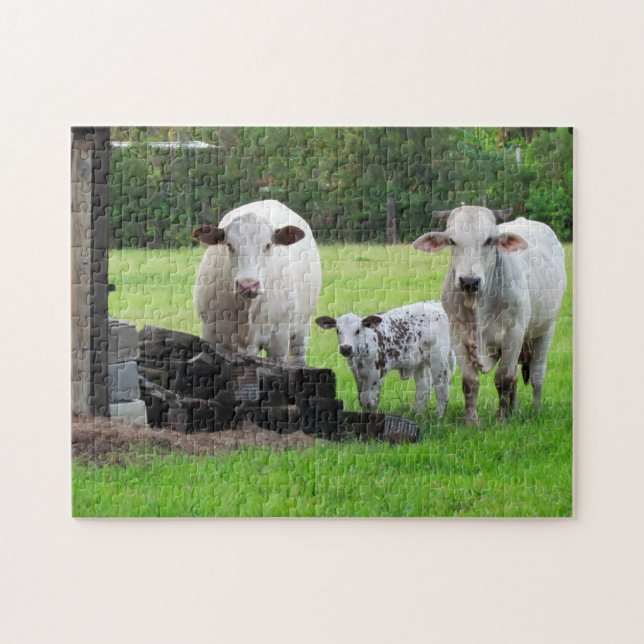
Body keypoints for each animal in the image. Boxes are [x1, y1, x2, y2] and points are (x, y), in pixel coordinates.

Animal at [193, 200, 322, 364]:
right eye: (229, 245)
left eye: (268, 245)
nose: (248, 285)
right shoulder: (211, 333)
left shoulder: (279, 339)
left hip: (302, 327)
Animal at [316, 301, 455, 416]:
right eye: (337, 330)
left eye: (358, 331)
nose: (346, 348)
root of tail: (437, 303)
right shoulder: (358, 375)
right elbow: (362, 398)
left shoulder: (376, 374)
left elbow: (370, 400)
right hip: (420, 361)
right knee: (424, 387)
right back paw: (416, 414)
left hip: (438, 358)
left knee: (442, 383)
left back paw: (439, 415)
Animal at [412, 205, 566, 424]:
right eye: (452, 240)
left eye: (489, 240)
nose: (469, 281)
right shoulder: (458, 338)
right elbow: (470, 382)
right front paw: (472, 421)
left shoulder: (513, 336)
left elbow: (503, 379)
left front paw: (501, 419)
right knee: (516, 378)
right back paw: (514, 410)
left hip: (545, 331)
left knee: (537, 374)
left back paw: (535, 409)